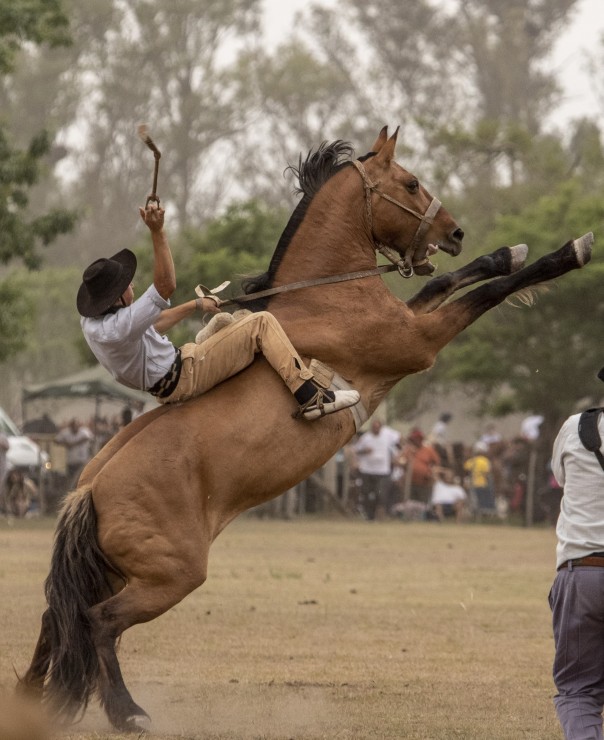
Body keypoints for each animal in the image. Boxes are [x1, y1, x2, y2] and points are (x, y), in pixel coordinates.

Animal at [18, 125, 596, 728]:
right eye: (411, 183)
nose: (454, 231)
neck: (326, 295)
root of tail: (89, 490)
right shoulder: (418, 341)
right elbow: (482, 294)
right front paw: (570, 250)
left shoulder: (409, 318)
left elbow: (454, 281)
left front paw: (506, 250)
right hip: (170, 575)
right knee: (97, 623)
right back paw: (129, 712)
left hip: (112, 569)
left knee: (56, 619)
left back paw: (31, 700)